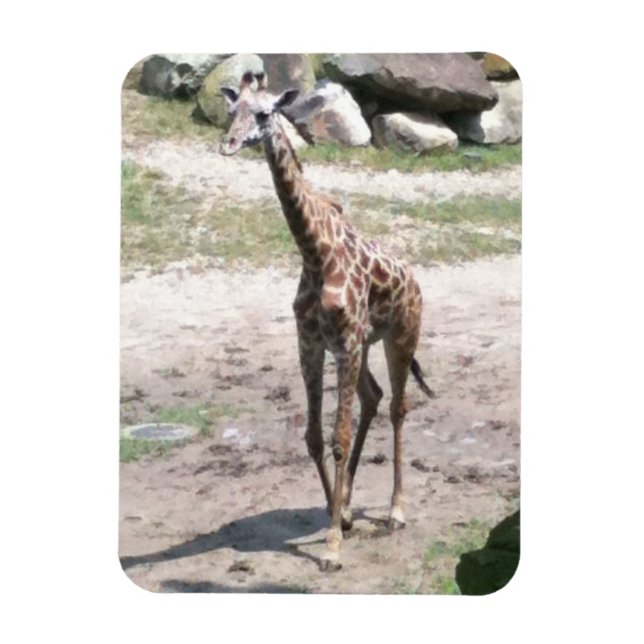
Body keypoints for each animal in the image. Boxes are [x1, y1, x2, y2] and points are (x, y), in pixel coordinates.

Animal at [219, 72, 435, 571]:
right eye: (231, 111)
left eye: (264, 113)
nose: (229, 144)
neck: (315, 253)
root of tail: (415, 281)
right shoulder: (313, 344)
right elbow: (315, 437)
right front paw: (340, 514)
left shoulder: (347, 344)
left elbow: (338, 436)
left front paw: (333, 545)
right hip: (363, 346)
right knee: (374, 398)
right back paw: (353, 503)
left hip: (399, 337)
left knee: (398, 407)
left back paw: (395, 511)